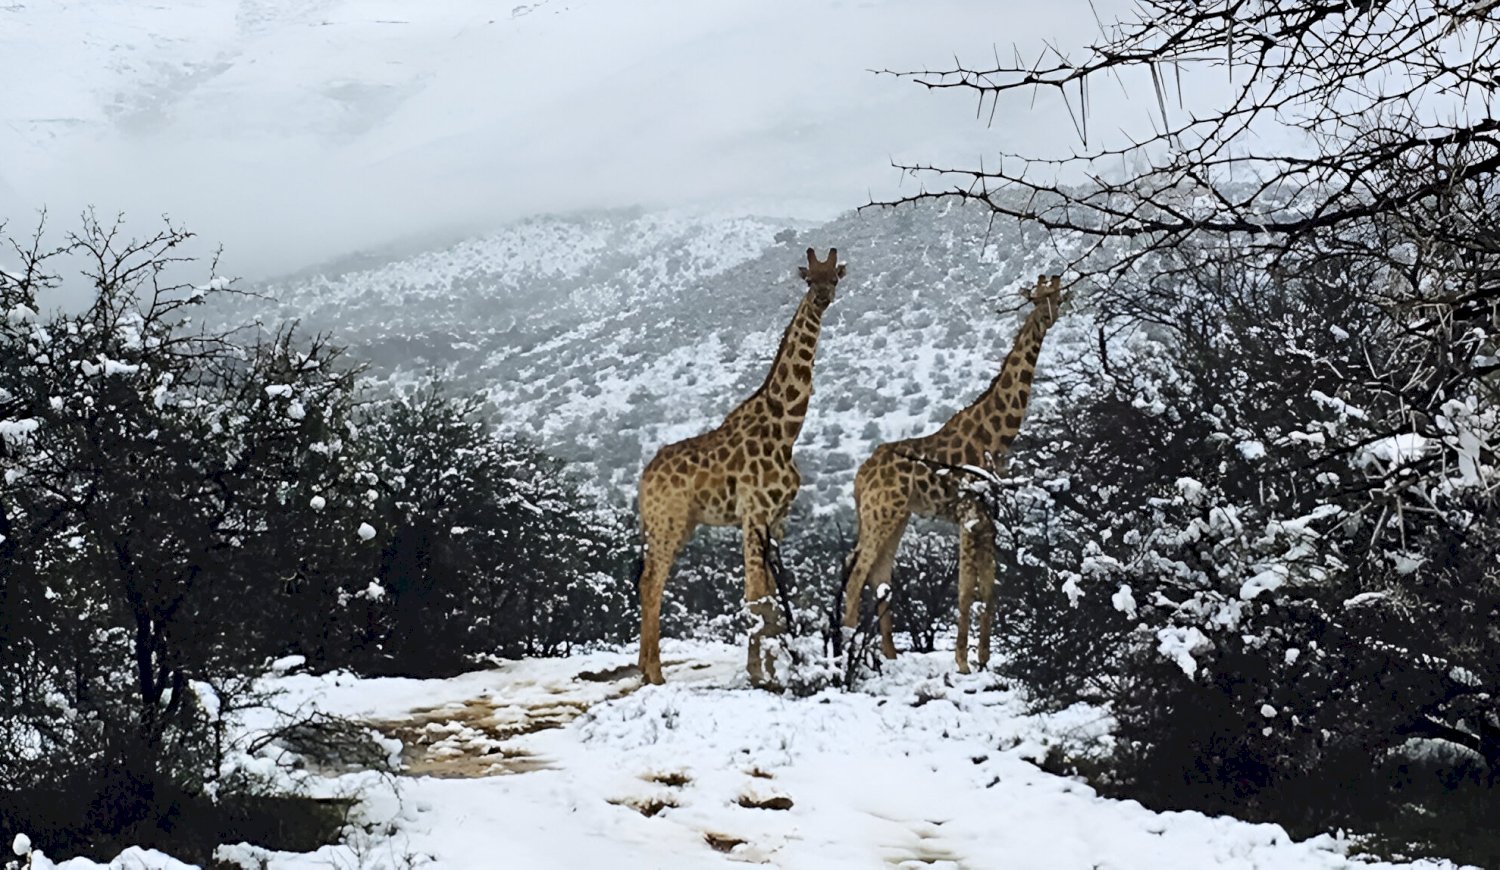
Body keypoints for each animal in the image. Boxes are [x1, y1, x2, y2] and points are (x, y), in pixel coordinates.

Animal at [633, 244, 846, 687]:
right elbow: (755, 596)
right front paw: (758, 673)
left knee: (648, 581)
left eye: (834, 277)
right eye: (809, 279)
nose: (822, 299)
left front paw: (776, 671)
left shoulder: (777, 519)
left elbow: (771, 598)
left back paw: (645, 668)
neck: (787, 430)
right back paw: (654, 673)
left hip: (680, 524)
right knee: (651, 581)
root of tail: (643, 479)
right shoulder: (754, 513)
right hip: (668, 522)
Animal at [846, 271, 1068, 672]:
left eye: (1057, 296)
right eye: (1035, 298)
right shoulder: (968, 512)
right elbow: (965, 589)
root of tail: (858, 478)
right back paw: (845, 646)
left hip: (896, 516)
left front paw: (983, 658)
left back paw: (888, 653)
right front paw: (963, 661)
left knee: (879, 574)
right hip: (879, 514)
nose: (1047, 317)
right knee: (857, 572)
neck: (997, 436)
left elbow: (989, 588)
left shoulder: (988, 515)